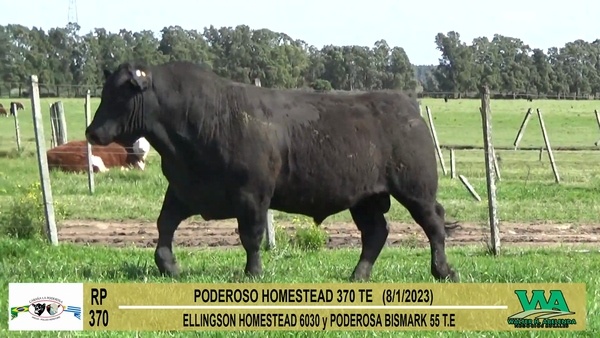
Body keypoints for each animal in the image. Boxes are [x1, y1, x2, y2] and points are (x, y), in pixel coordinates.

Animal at [84, 60, 460, 282]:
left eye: (121, 94)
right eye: (104, 91)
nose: (92, 131)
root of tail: (407, 105)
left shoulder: (252, 195)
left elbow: (250, 236)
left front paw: (252, 274)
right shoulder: (183, 190)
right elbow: (164, 225)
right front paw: (168, 265)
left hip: (416, 191)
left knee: (434, 224)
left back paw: (443, 271)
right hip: (365, 198)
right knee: (376, 233)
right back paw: (359, 275)